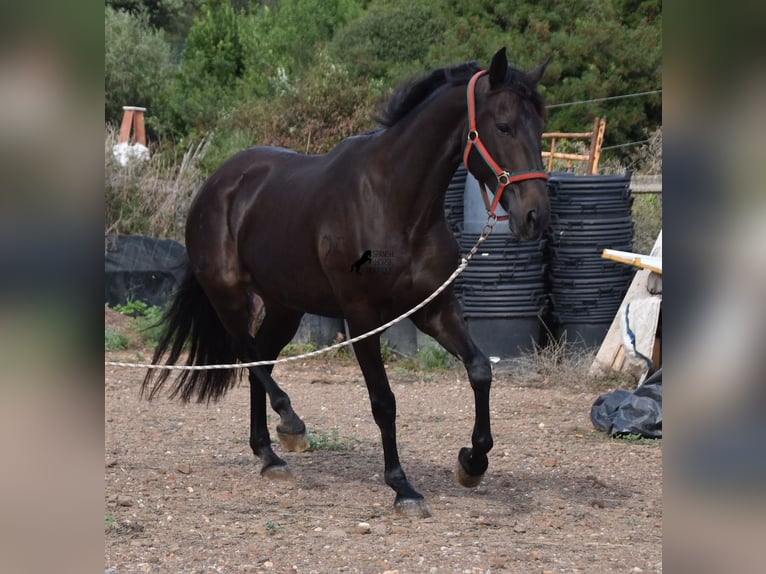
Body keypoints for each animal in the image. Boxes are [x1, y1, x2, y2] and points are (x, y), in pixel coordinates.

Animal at [142, 48, 552, 516]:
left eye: (540, 127)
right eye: (503, 126)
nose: (535, 216)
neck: (394, 203)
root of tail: (216, 185)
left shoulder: (434, 309)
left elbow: (481, 370)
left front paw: (473, 462)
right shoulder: (362, 317)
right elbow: (384, 401)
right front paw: (403, 487)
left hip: (285, 306)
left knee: (262, 358)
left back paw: (270, 455)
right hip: (228, 295)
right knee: (251, 358)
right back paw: (292, 425)